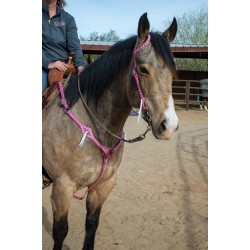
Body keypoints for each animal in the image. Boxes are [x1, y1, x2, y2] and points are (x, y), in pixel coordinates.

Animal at [43, 12, 180, 250]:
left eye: (173, 72)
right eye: (143, 69)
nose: (169, 126)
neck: (95, 127)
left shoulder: (103, 186)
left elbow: (91, 225)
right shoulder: (62, 187)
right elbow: (60, 232)